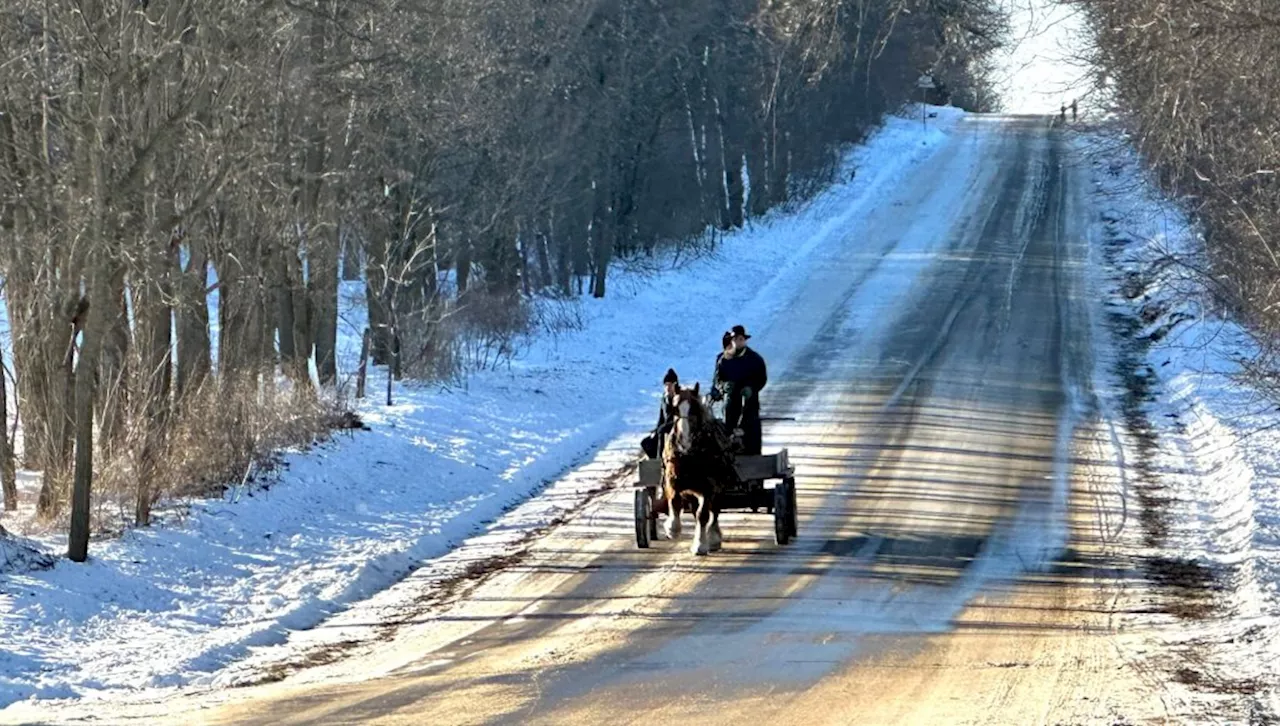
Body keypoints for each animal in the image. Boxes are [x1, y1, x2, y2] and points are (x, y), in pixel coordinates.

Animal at [665, 381, 737, 555]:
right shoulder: (673, 481)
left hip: (720, 485)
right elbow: (675, 503)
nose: (684, 440)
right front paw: (672, 529)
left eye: (695, 409)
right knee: (694, 509)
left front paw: (700, 544)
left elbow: (703, 514)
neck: (689, 454)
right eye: (674, 409)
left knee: (714, 509)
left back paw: (713, 537)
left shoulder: (709, 487)